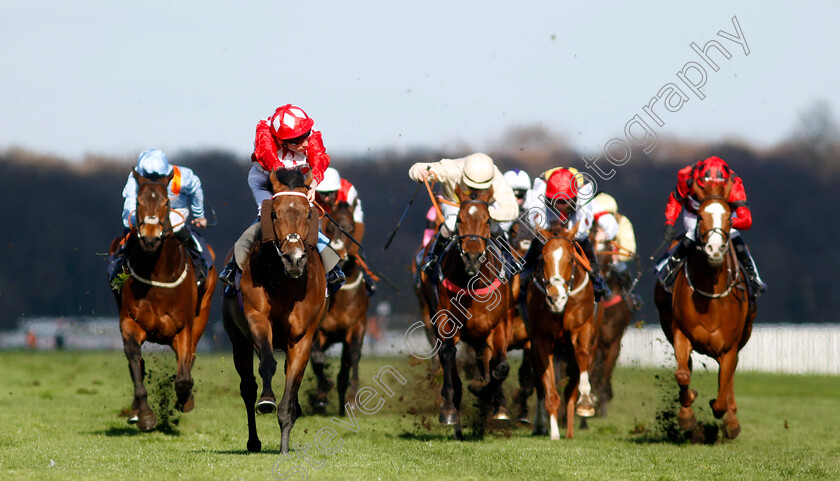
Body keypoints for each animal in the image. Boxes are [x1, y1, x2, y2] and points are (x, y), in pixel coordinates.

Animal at [110, 170, 217, 432]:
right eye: (138, 202)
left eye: (166, 202)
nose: (150, 239)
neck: (157, 274)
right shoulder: (130, 322)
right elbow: (135, 361)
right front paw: (145, 414)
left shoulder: (184, 327)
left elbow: (183, 377)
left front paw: (184, 400)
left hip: (203, 313)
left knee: (190, 357)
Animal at [223, 167, 328, 452]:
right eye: (274, 213)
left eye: (308, 213)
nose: (294, 259)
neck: (285, 282)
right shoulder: (257, 319)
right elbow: (267, 363)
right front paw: (267, 400)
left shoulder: (302, 337)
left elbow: (292, 384)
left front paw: (284, 445)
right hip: (238, 340)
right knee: (248, 386)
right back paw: (253, 441)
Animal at [308, 201, 368, 414]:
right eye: (329, 228)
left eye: (350, 228)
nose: (339, 255)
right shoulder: (318, 329)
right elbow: (317, 358)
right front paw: (321, 394)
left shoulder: (356, 326)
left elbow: (353, 356)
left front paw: (351, 398)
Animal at [528, 221, 600, 438]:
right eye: (543, 259)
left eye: (570, 259)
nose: (555, 298)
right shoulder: (541, 340)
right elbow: (548, 387)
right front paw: (554, 433)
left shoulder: (583, 328)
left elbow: (582, 355)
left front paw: (585, 402)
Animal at [652, 177, 756, 438]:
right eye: (700, 216)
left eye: (729, 217)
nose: (715, 249)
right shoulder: (681, 334)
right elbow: (682, 374)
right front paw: (687, 415)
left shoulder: (729, 347)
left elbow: (721, 396)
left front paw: (728, 418)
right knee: (686, 368)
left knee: (728, 378)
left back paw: (731, 419)